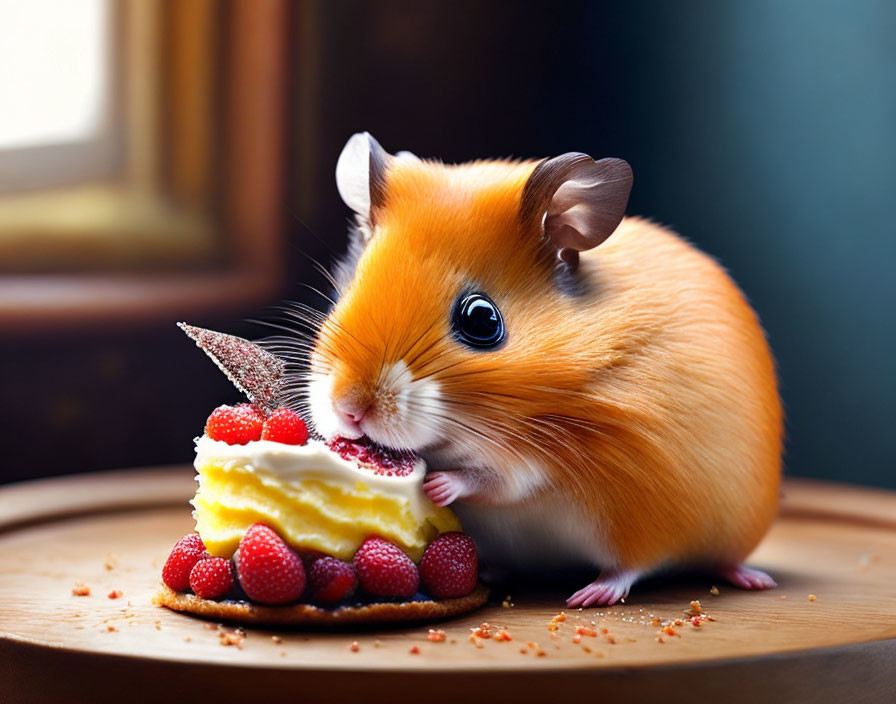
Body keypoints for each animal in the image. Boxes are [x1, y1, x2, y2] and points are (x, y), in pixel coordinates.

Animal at [300, 135, 776, 608]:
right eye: (344, 294)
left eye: (482, 320)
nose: (349, 410)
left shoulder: (536, 457)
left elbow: (494, 479)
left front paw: (437, 485)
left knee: (635, 566)